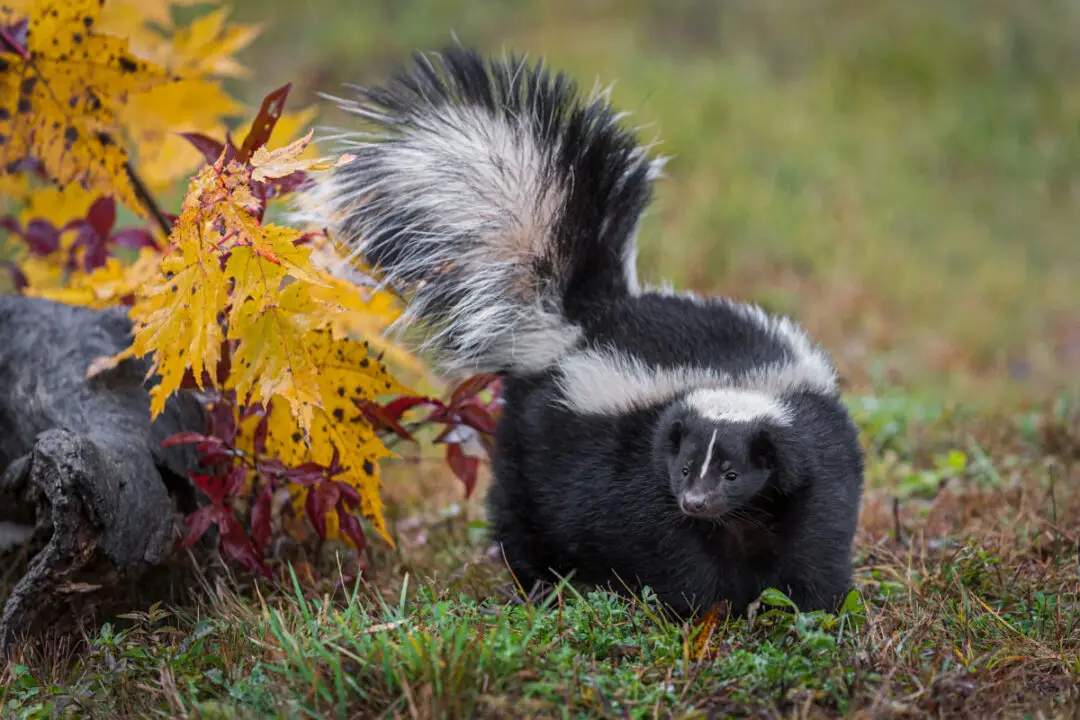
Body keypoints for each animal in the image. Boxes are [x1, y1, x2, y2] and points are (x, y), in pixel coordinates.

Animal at [298, 47, 868, 617]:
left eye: (732, 474)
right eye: (685, 469)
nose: (695, 502)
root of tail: (584, 316)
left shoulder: (813, 460)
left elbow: (814, 536)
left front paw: (811, 606)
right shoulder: (636, 470)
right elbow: (669, 548)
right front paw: (705, 609)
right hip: (533, 441)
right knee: (521, 511)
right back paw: (537, 581)